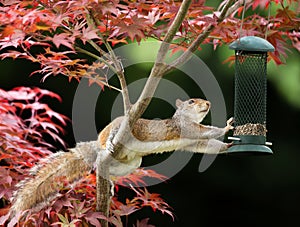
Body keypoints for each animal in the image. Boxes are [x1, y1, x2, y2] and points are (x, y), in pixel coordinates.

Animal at [9, 97, 234, 216]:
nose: (208, 103)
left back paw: (109, 182)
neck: (184, 118)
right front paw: (227, 127)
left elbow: (207, 145)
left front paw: (228, 146)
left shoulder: (192, 141)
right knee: (108, 142)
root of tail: (98, 145)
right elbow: (207, 131)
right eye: (191, 101)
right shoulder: (187, 129)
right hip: (119, 128)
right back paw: (108, 145)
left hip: (132, 162)